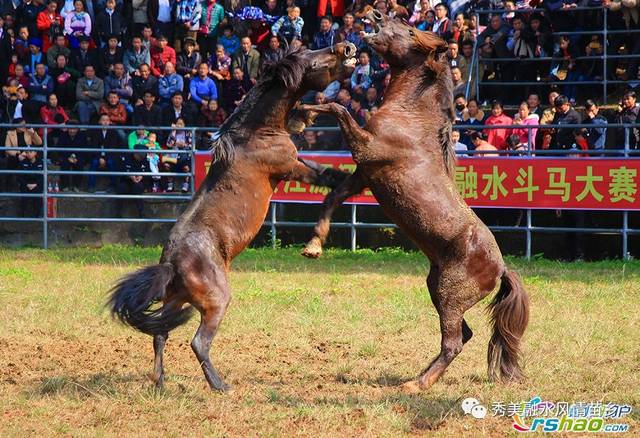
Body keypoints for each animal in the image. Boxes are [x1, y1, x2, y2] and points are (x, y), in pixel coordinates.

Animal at [111, 44, 360, 392]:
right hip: (216, 301)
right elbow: (324, 175)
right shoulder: (289, 167)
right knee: (198, 342)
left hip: (177, 301)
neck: (254, 132)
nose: (347, 47)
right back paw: (220, 386)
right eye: (313, 61)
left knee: (160, 334)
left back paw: (160, 383)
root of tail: (171, 263)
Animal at [298, 13, 528, 392]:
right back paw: (419, 377)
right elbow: (331, 197)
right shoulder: (364, 174)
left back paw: (416, 385)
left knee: (453, 341)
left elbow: (339, 106)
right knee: (463, 335)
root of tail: (501, 268)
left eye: (408, 30)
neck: (411, 117)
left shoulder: (366, 149)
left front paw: (304, 111)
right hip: (437, 288)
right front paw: (314, 246)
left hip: (450, 296)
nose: (376, 15)